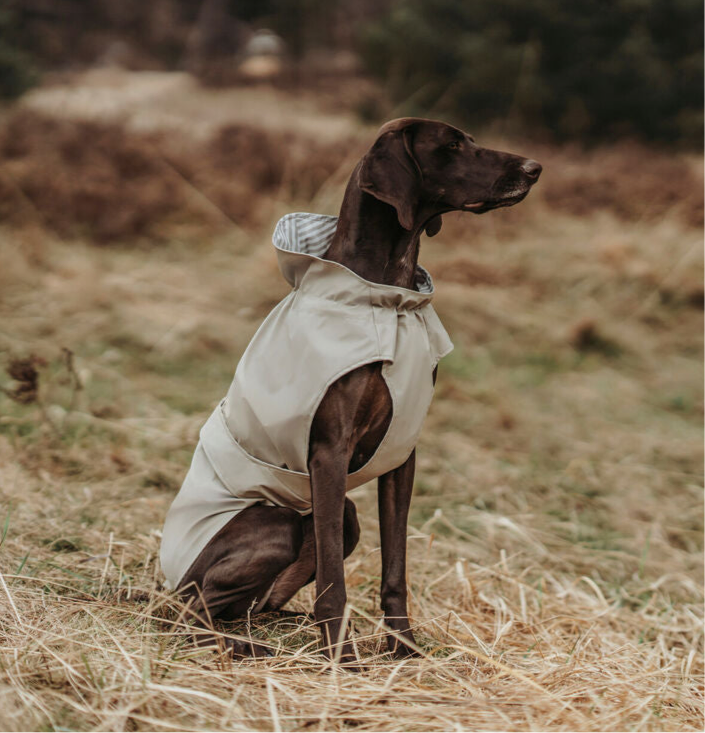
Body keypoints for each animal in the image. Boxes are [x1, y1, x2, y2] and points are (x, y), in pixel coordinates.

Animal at [160, 116, 540, 664]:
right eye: (451, 145)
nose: (534, 168)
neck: (389, 298)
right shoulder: (329, 452)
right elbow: (334, 584)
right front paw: (340, 658)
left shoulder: (403, 454)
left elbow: (395, 567)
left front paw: (403, 648)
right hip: (273, 525)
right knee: (190, 614)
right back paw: (251, 647)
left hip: (345, 517)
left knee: (251, 604)